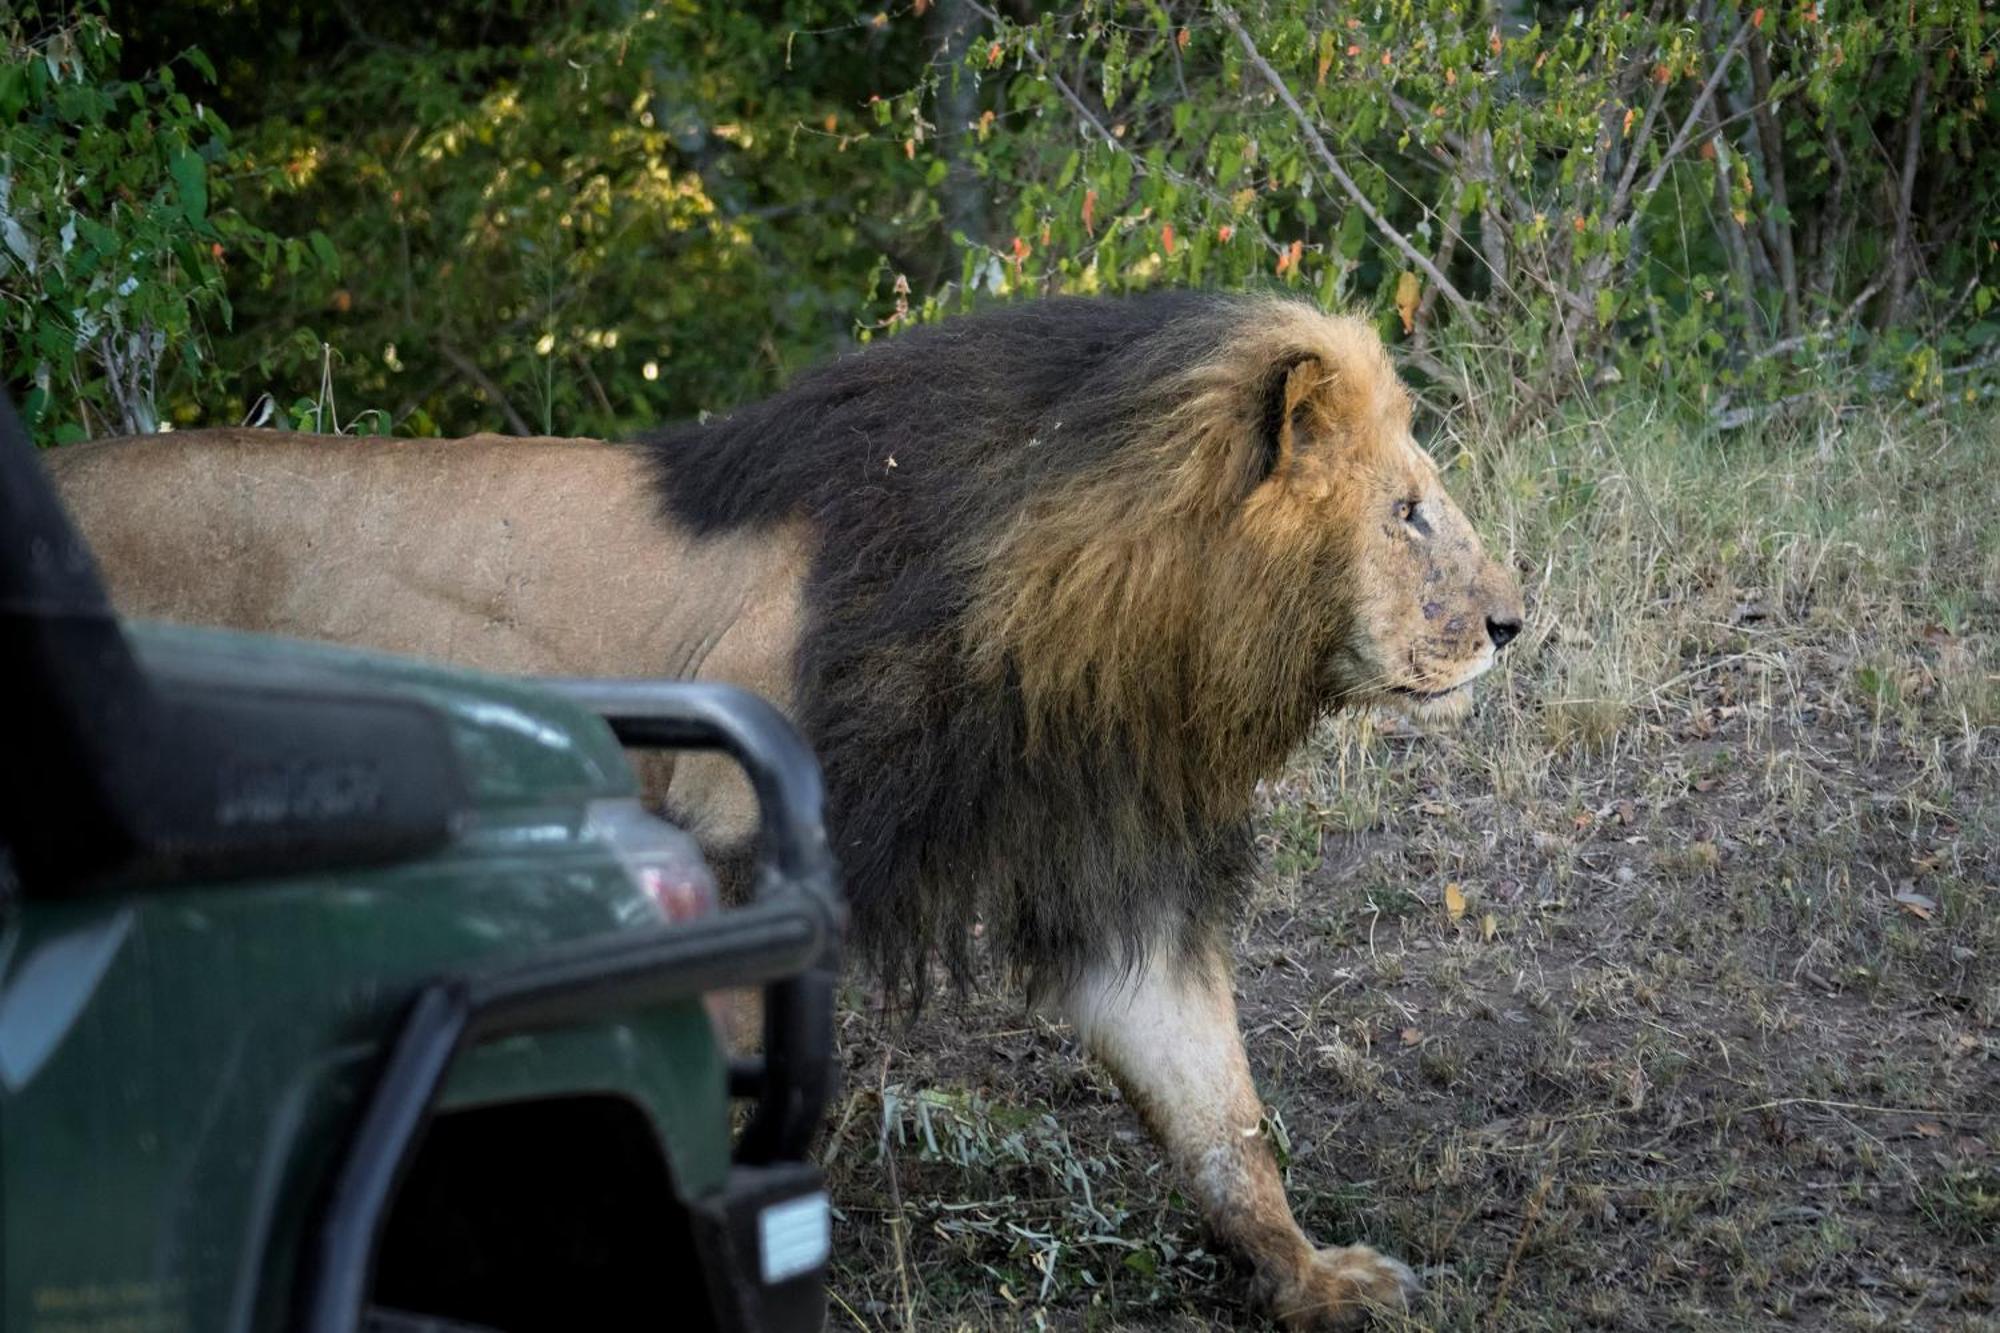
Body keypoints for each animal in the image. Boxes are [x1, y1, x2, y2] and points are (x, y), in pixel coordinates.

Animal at [54, 294, 1520, 1328]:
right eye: (1407, 512)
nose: (1514, 623)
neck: (1111, 629)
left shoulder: (1114, 868)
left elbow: (1219, 1110)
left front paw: (1313, 1275)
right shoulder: (733, 842)